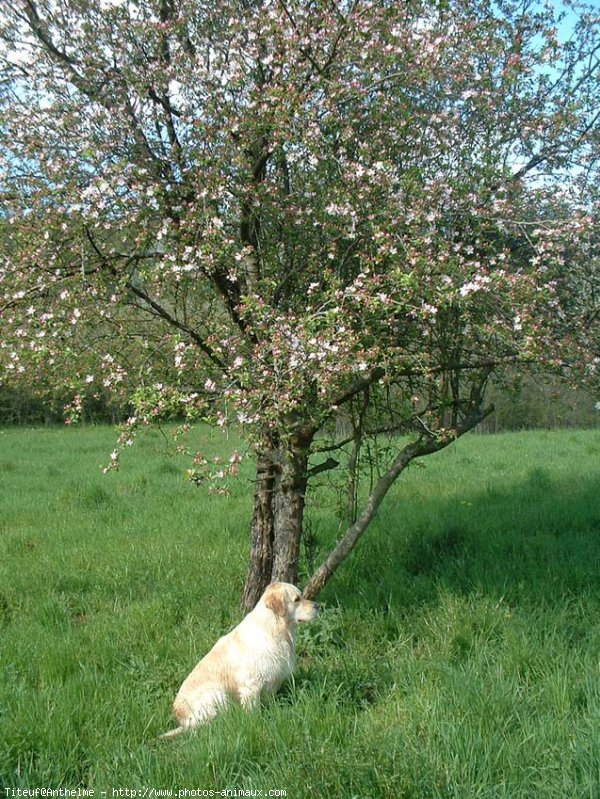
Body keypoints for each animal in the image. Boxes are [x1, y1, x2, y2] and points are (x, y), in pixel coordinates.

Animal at [159, 580, 318, 736]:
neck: (273, 628)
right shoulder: (251, 685)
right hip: (217, 694)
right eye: (297, 599)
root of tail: (179, 717)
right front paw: (257, 724)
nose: (317, 605)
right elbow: (253, 712)